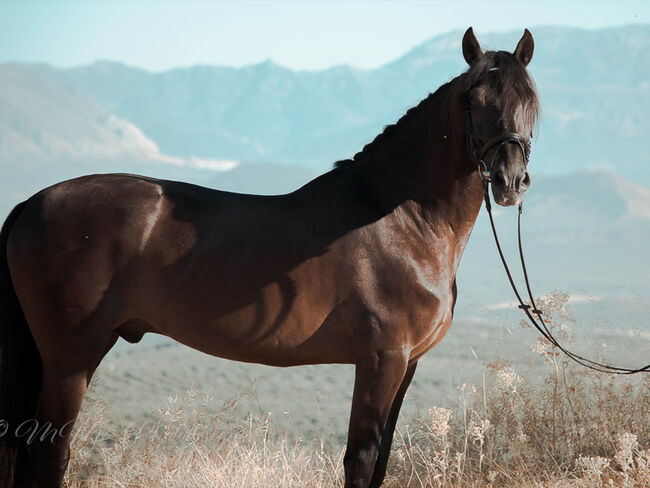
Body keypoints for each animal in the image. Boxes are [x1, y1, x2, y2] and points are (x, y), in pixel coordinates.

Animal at [0, 28, 536, 486]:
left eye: (531, 102)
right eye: (475, 101)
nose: (509, 181)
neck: (401, 219)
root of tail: (29, 204)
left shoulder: (408, 364)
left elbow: (380, 462)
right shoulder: (382, 359)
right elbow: (360, 461)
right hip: (71, 357)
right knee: (49, 453)